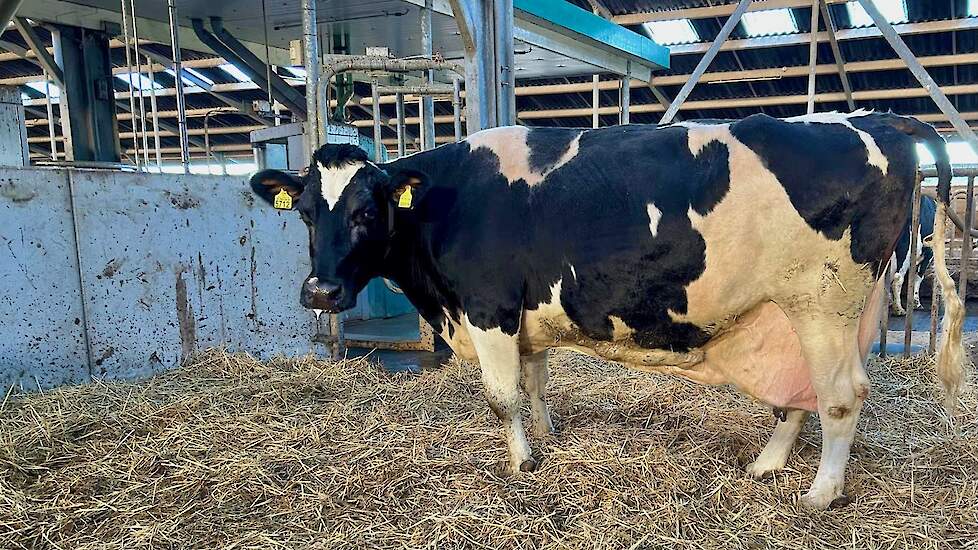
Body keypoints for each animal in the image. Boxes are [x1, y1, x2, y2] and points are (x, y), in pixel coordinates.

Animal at [250, 110, 964, 510]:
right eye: (306, 212)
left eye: (368, 211)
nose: (321, 293)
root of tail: (878, 119)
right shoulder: (524, 315)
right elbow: (535, 380)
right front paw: (545, 437)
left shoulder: (487, 307)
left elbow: (501, 394)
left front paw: (521, 463)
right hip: (797, 311)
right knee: (801, 394)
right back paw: (768, 464)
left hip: (823, 301)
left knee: (841, 396)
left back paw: (820, 493)